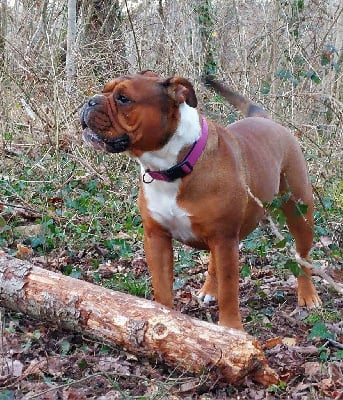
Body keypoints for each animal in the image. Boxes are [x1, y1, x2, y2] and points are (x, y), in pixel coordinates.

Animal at [81, 70, 322, 330]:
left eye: (123, 99)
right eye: (104, 91)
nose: (90, 101)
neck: (171, 167)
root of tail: (268, 120)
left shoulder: (224, 238)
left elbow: (229, 291)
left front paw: (231, 329)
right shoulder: (157, 238)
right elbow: (162, 286)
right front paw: (164, 318)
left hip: (299, 212)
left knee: (303, 256)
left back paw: (308, 296)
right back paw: (209, 290)